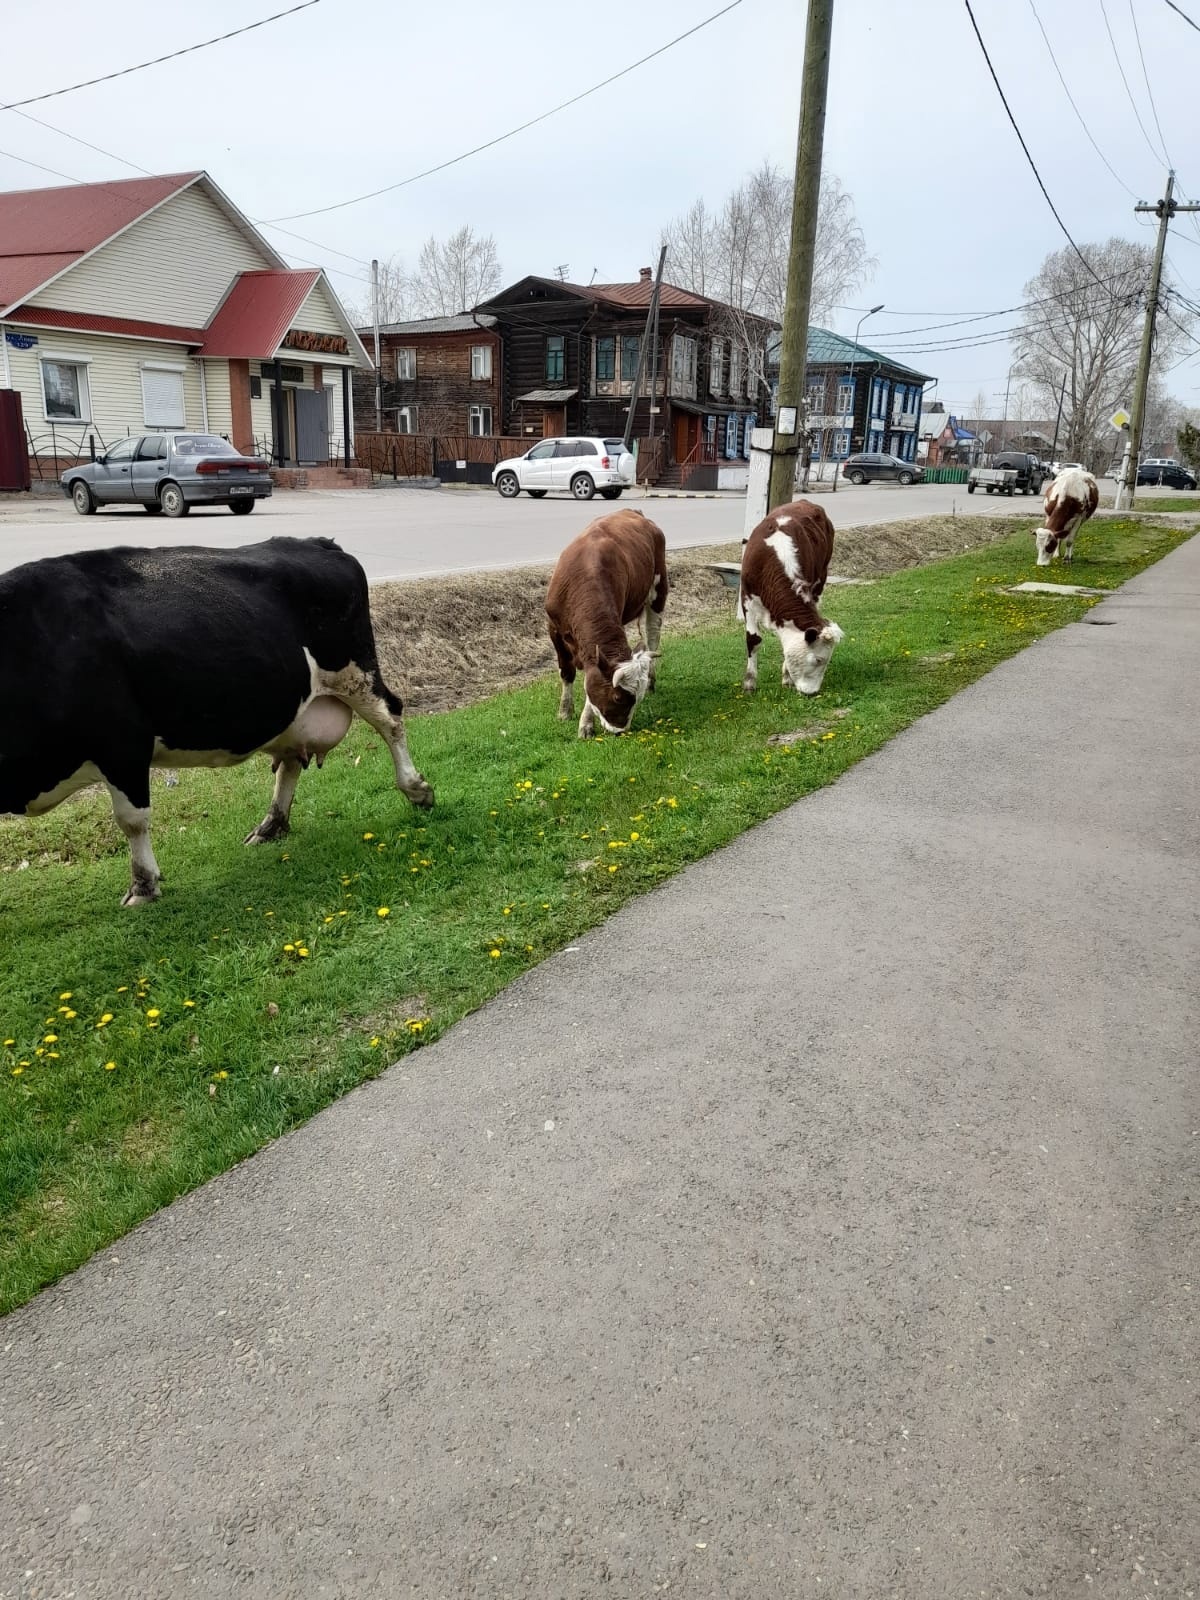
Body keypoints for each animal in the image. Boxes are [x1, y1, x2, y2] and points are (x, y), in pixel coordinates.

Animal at [0, 537, 432, 908]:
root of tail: (318, 542)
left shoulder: (123, 744)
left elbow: (132, 820)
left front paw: (143, 886)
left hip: (355, 671)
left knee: (391, 719)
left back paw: (417, 790)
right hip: (294, 704)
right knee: (292, 759)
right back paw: (271, 826)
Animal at [547, 508, 672, 739]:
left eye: (637, 700)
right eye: (617, 697)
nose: (620, 731)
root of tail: (634, 512)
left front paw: (586, 724)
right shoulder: (554, 628)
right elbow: (567, 672)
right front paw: (565, 711)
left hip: (659, 591)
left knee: (653, 635)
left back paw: (651, 677)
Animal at [742, 496, 844, 697]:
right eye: (818, 660)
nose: (812, 692)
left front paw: (787, 677)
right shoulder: (747, 598)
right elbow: (753, 639)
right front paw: (749, 683)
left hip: (821, 579)